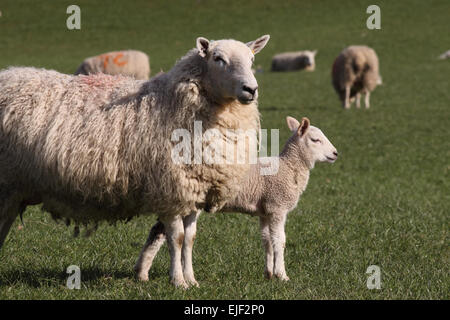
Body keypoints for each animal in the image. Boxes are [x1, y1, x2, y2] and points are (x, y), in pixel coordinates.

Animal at [0, 34, 270, 288]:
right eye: (218, 59)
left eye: (252, 59)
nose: (251, 89)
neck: (175, 103)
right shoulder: (171, 191)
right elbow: (177, 238)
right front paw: (178, 281)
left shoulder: (193, 190)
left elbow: (190, 239)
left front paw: (192, 280)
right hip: (7, 187)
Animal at [134, 115, 338, 282]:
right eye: (315, 139)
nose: (335, 153)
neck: (289, 167)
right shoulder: (277, 207)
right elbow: (279, 241)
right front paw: (282, 275)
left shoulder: (265, 211)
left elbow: (267, 241)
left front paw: (269, 274)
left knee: (157, 232)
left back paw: (142, 272)